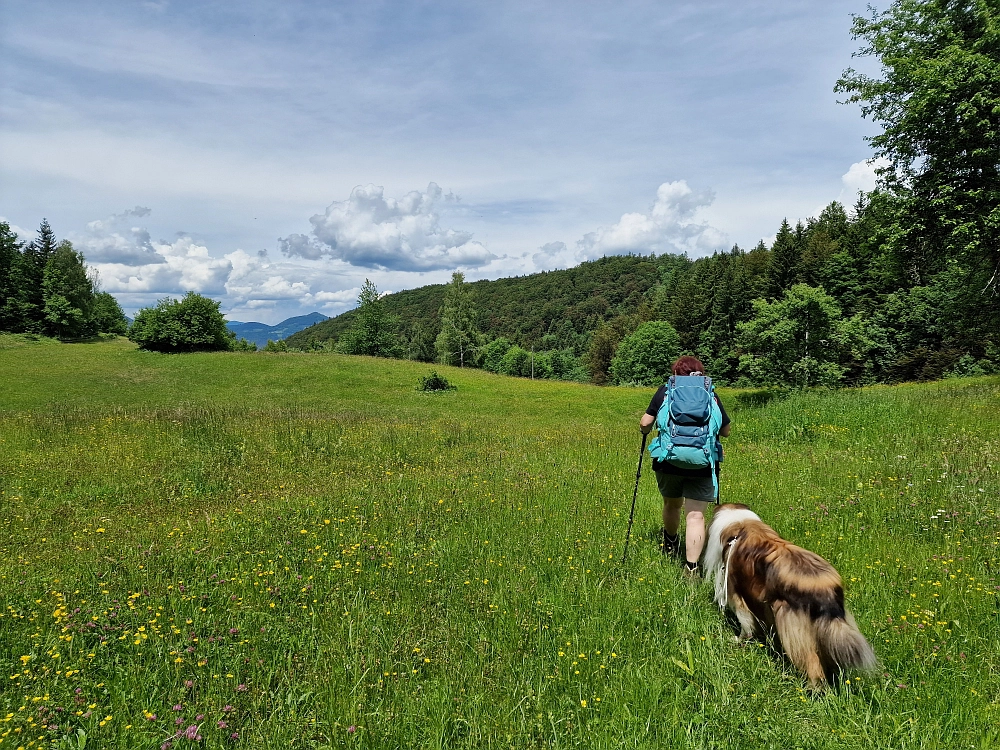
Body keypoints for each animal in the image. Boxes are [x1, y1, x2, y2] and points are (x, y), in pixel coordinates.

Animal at [704, 502, 876, 692]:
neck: (740, 523)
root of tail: (824, 589)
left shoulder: (736, 593)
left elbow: (746, 622)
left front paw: (738, 639)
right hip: (830, 627)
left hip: (793, 625)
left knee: (811, 662)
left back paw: (812, 689)